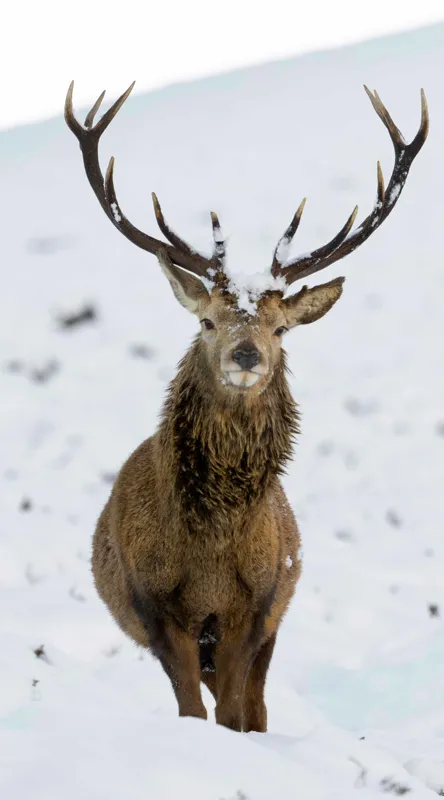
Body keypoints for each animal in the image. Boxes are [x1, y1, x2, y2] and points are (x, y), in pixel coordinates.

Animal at [65, 82, 428, 732]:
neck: (211, 550)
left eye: (281, 328)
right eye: (207, 321)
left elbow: (235, 710)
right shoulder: (156, 607)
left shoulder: (255, 607)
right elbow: (191, 708)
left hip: (276, 616)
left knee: (258, 704)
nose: (246, 354)